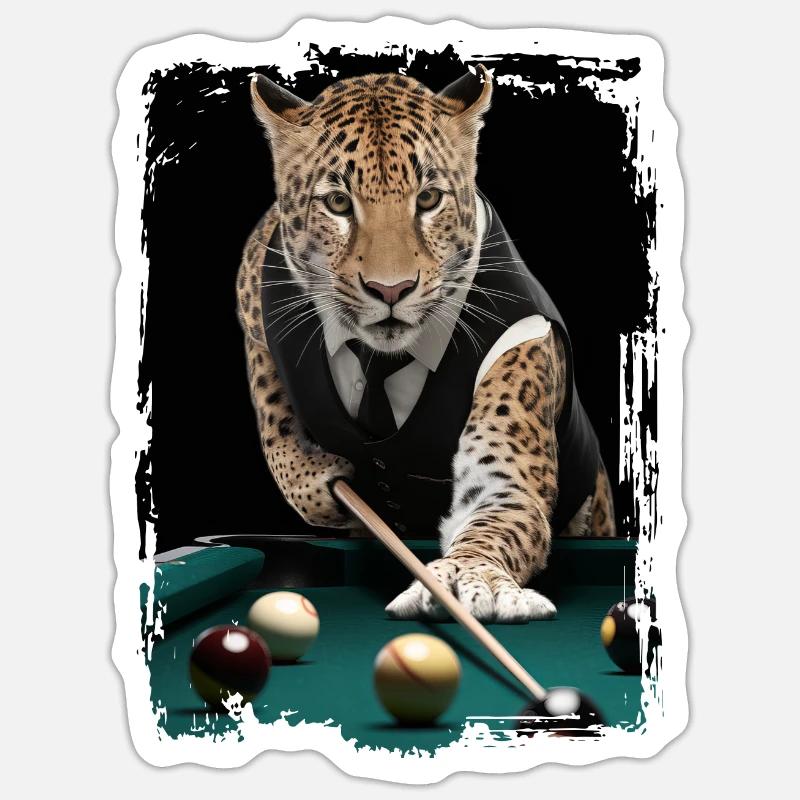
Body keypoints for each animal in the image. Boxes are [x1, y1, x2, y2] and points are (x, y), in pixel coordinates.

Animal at [236, 66, 616, 624]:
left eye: (429, 199)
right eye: (338, 203)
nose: (391, 290)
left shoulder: (517, 351)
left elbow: (499, 505)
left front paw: (467, 574)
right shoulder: (255, 294)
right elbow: (276, 436)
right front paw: (321, 482)